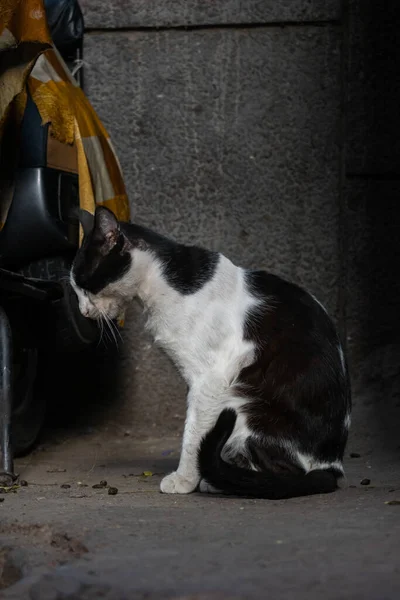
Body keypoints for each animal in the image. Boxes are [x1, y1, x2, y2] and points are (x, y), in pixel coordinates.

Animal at [71, 209, 350, 500]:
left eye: (84, 285)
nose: (82, 311)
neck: (160, 287)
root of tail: (332, 465)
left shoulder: (210, 379)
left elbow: (194, 434)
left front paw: (184, 480)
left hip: (243, 406)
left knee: (282, 473)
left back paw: (224, 480)